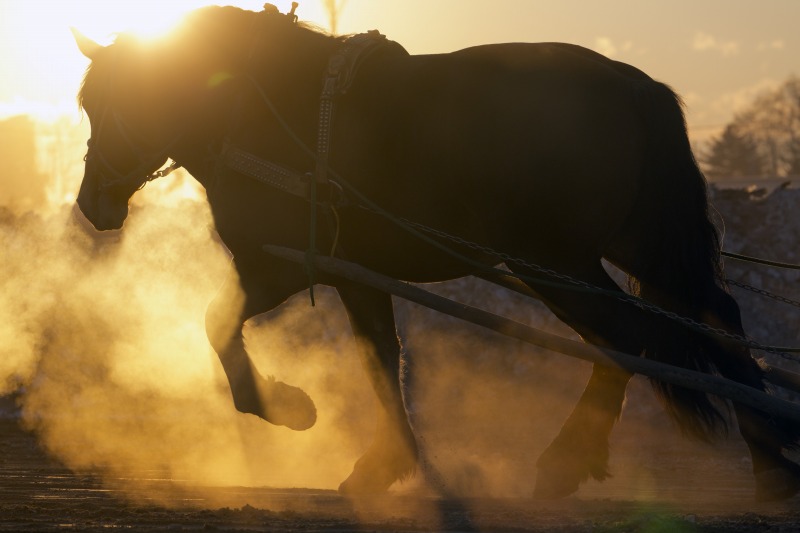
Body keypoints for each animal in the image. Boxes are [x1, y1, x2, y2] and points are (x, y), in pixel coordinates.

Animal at [72, 4, 800, 501]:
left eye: (112, 98)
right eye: (85, 101)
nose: (91, 202)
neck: (262, 105)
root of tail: (636, 89)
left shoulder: (278, 263)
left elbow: (217, 325)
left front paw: (288, 406)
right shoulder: (358, 274)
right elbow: (379, 359)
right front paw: (387, 463)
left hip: (556, 263)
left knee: (625, 335)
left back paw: (568, 458)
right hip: (641, 247)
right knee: (721, 320)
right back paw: (769, 467)